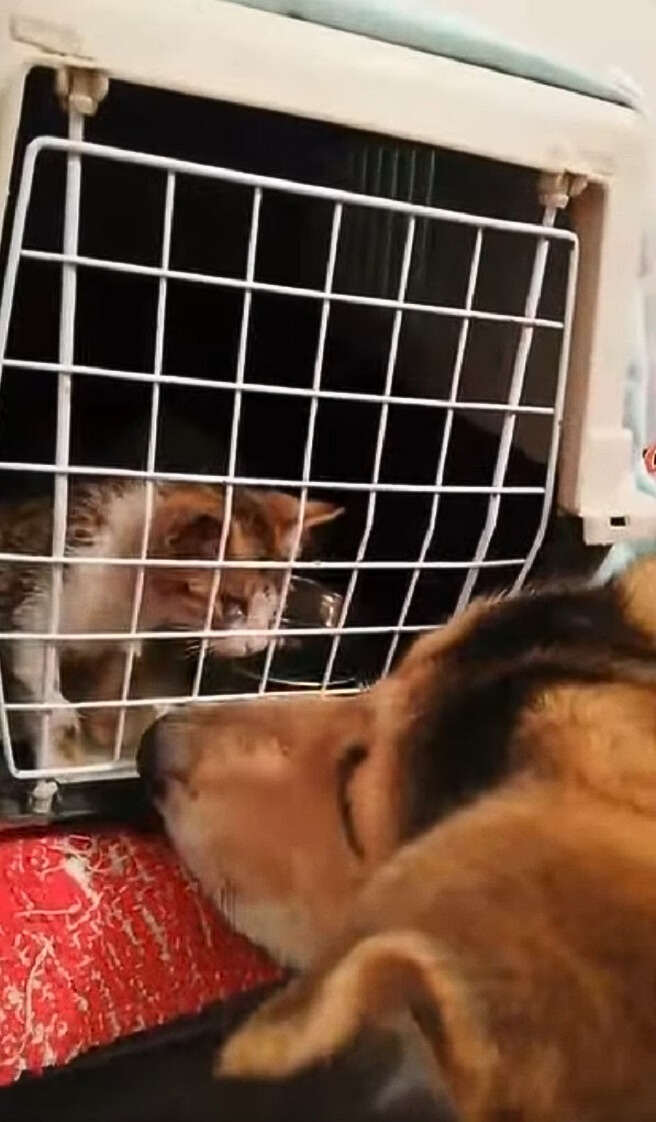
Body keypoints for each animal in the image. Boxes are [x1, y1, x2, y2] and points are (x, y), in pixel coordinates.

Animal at [0, 477, 340, 767]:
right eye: (232, 603)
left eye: (274, 605)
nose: (254, 645)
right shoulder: (38, 588)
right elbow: (30, 647)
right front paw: (58, 711)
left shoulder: (124, 635)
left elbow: (117, 668)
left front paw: (113, 719)